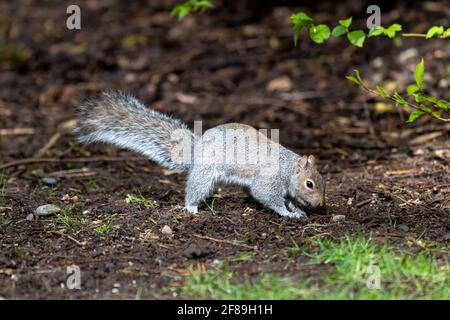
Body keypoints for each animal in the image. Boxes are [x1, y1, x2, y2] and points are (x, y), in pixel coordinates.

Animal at [75, 91, 326, 219]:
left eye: (323, 181)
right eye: (310, 184)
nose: (321, 205)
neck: (286, 167)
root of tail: (197, 149)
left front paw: (297, 209)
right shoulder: (268, 180)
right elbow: (269, 198)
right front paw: (288, 213)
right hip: (204, 175)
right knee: (194, 190)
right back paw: (191, 208)